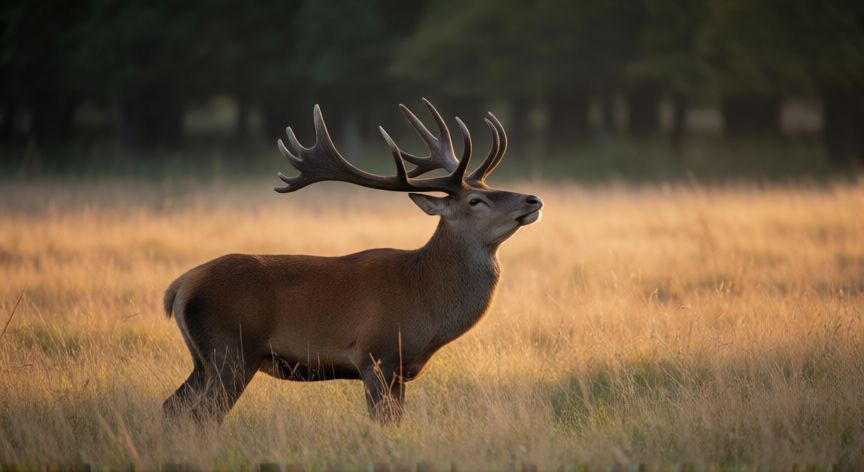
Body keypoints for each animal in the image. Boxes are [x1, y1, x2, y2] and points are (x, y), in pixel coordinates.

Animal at [162, 99, 543, 424]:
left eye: (489, 187)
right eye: (476, 201)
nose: (533, 200)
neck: (425, 299)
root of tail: (179, 288)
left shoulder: (400, 369)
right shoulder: (375, 354)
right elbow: (380, 422)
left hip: (204, 359)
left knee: (172, 406)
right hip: (232, 350)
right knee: (201, 415)